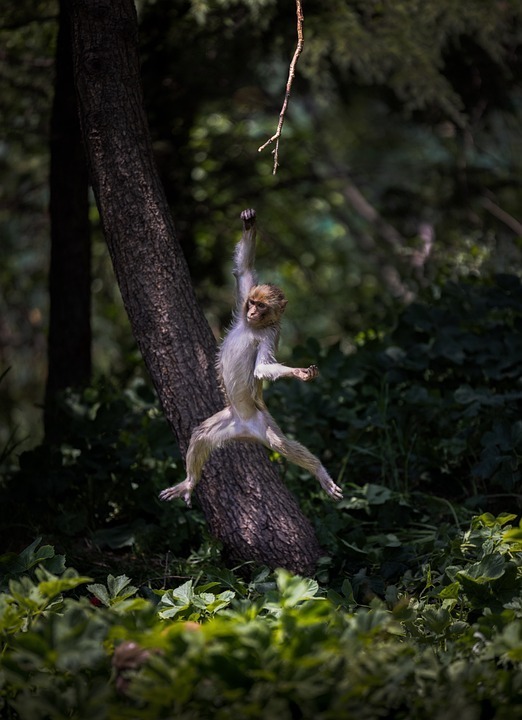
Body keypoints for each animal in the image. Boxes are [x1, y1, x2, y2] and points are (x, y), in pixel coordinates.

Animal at [159, 208, 346, 506]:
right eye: (253, 303)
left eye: (262, 306)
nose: (252, 312)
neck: (254, 326)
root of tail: (245, 430)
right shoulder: (244, 301)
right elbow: (243, 271)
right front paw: (249, 223)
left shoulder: (271, 333)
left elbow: (261, 368)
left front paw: (299, 373)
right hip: (228, 420)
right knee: (200, 435)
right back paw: (189, 483)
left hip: (262, 422)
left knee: (281, 444)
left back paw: (318, 470)